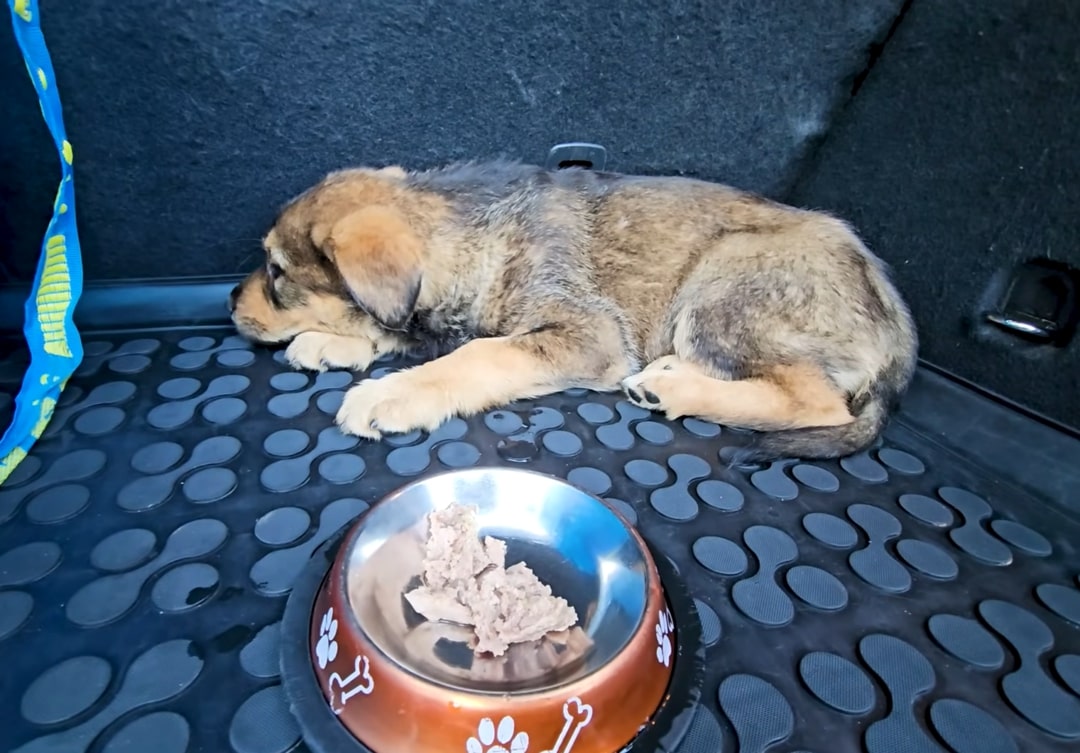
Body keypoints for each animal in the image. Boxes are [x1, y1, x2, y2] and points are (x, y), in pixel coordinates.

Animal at [232, 162, 915, 460]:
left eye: (276, 272)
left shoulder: (588, 332)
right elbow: (403, 332)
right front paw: (334, 343)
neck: (469, 235)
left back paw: (671, 388)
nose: (229, 305)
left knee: (816, 400)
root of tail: (901, 340)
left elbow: (478, 354)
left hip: (725, 281)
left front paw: (392, 393)